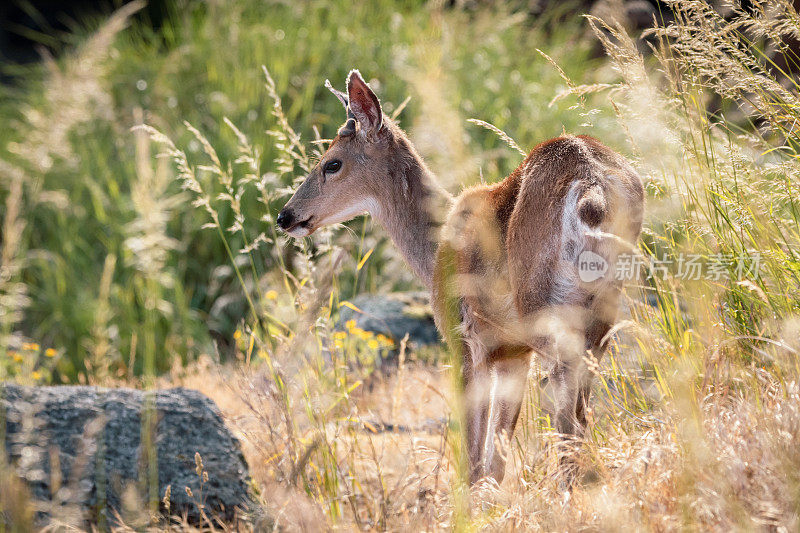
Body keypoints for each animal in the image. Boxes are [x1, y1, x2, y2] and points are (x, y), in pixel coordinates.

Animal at [276, 69, 644, 482]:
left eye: (332, 163)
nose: (285, 216)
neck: (436, 248)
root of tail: (592, 191)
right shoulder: (511, 352)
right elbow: (495, 461)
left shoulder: (464, 336)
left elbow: (473, 460)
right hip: (603, 309)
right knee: (580, 408)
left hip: (546, 308)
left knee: (566, 409)